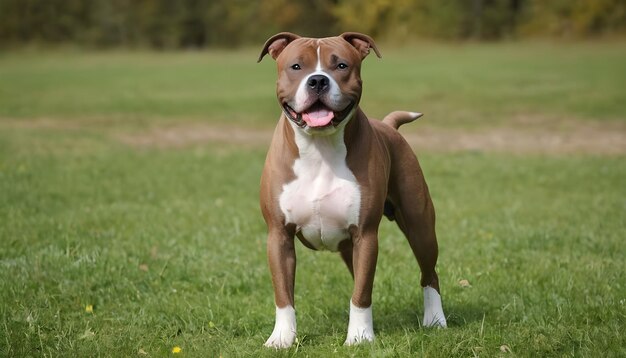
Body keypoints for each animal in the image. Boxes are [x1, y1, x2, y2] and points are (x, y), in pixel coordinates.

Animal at [256, 32, 446, 346]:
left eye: (341, 65)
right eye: (296, 66)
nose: (318, 81)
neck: (320, 148)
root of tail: (389, 125)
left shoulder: (365, 235)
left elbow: (362, 293)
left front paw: (359, 337)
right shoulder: (278, 236)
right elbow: (283, 295)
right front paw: (282, 338)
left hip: (420, 227)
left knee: (429, 274)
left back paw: (435, 320)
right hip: (348, 248)